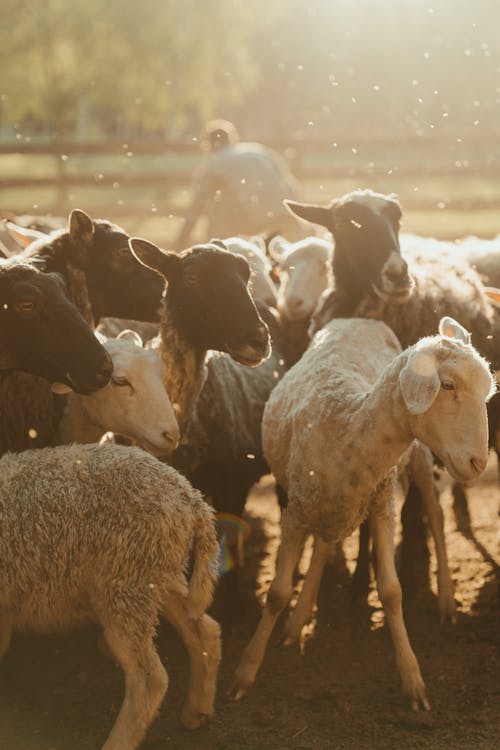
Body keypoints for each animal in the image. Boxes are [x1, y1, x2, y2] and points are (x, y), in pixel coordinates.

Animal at [0, 444, 221, 748]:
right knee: (204, 629)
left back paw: (117, 741)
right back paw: (195, 711)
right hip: (155, 576)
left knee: (150, 678)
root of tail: (190, 499)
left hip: (123, 585)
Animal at [231, 316, 496, 712]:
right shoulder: (296, 510)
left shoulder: (383, 506)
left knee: (435, 515)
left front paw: (412, 680)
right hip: (328, 503)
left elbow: (391, 591)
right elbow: (277, 592)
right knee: (324, 546)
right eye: (447, 384)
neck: (349, 429)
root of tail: (361, 319)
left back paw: (447, 600)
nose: (478, 463)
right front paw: (245, 672)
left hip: (419, 457)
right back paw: (296, 622)